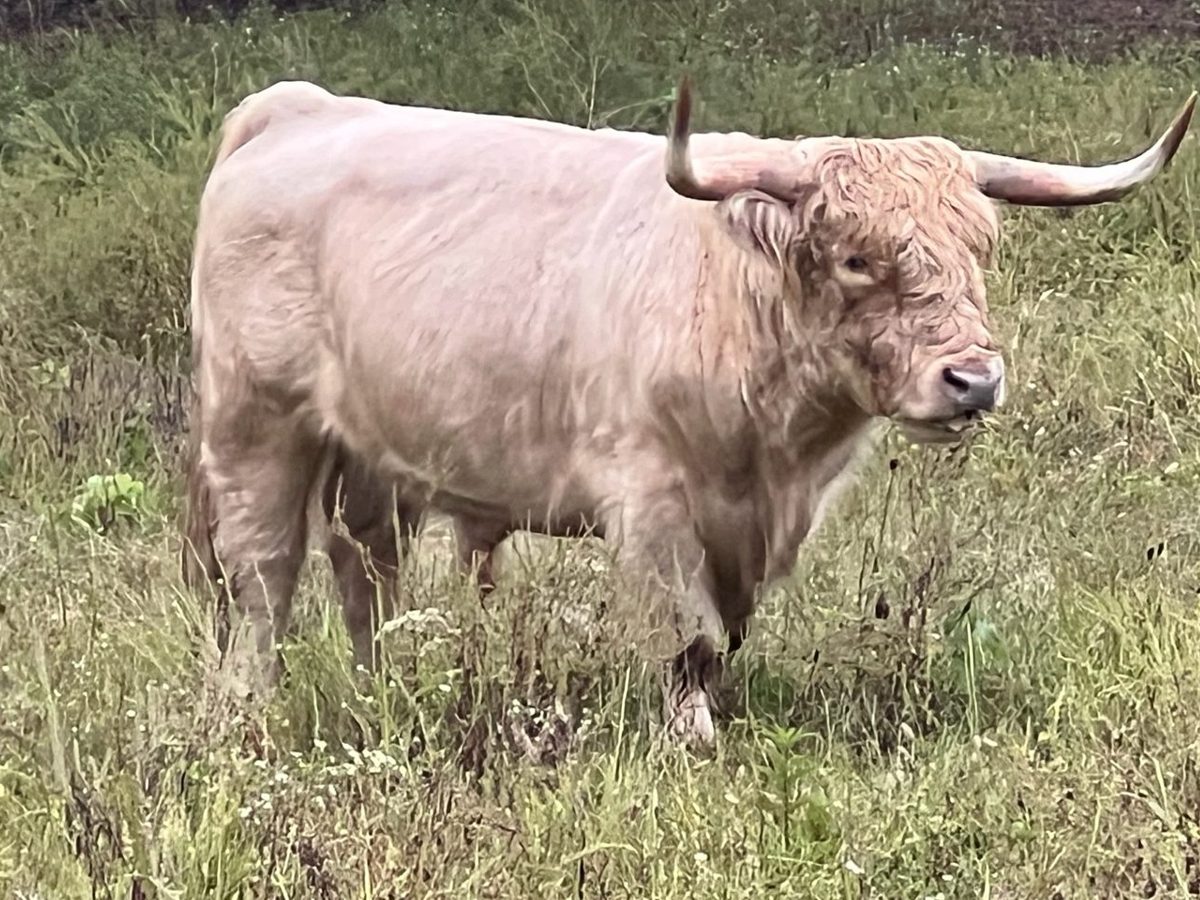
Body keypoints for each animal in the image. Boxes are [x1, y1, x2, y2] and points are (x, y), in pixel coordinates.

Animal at [181, 76, 1195, 744]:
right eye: (857, 258)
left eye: (979, 247)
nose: (973, 380)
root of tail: (297, 108)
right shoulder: (651, 501)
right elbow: (690, 634)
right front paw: (695, 738)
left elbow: (727, 630)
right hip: (256, 420)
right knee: (264, 573)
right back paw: (245, 711)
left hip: (375, 445)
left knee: (368, 565)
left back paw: (386, 692)